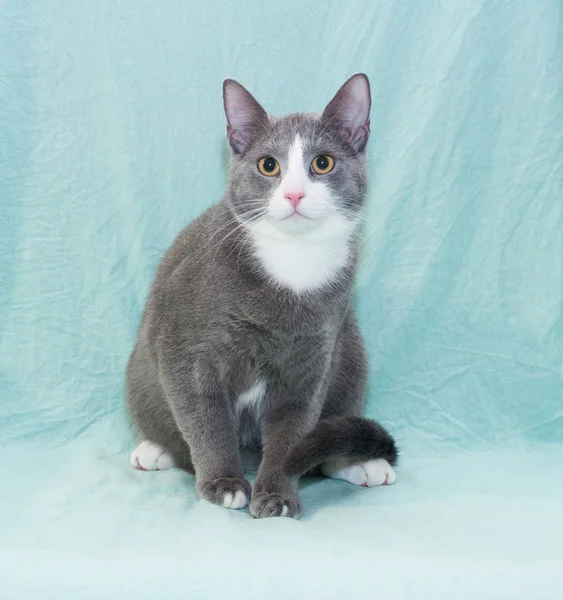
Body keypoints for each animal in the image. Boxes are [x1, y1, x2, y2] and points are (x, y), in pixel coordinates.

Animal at [126, 72, 400, 516]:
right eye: (268, 166)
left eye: (322, 163)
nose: (294, 194)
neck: (292, 263)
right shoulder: (185, 349)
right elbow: (204, 418)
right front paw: (222, 483)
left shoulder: (312, 358)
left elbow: (295, 430)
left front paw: (277, 493)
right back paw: (154, 450)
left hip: (351, 349)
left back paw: (360, 464)